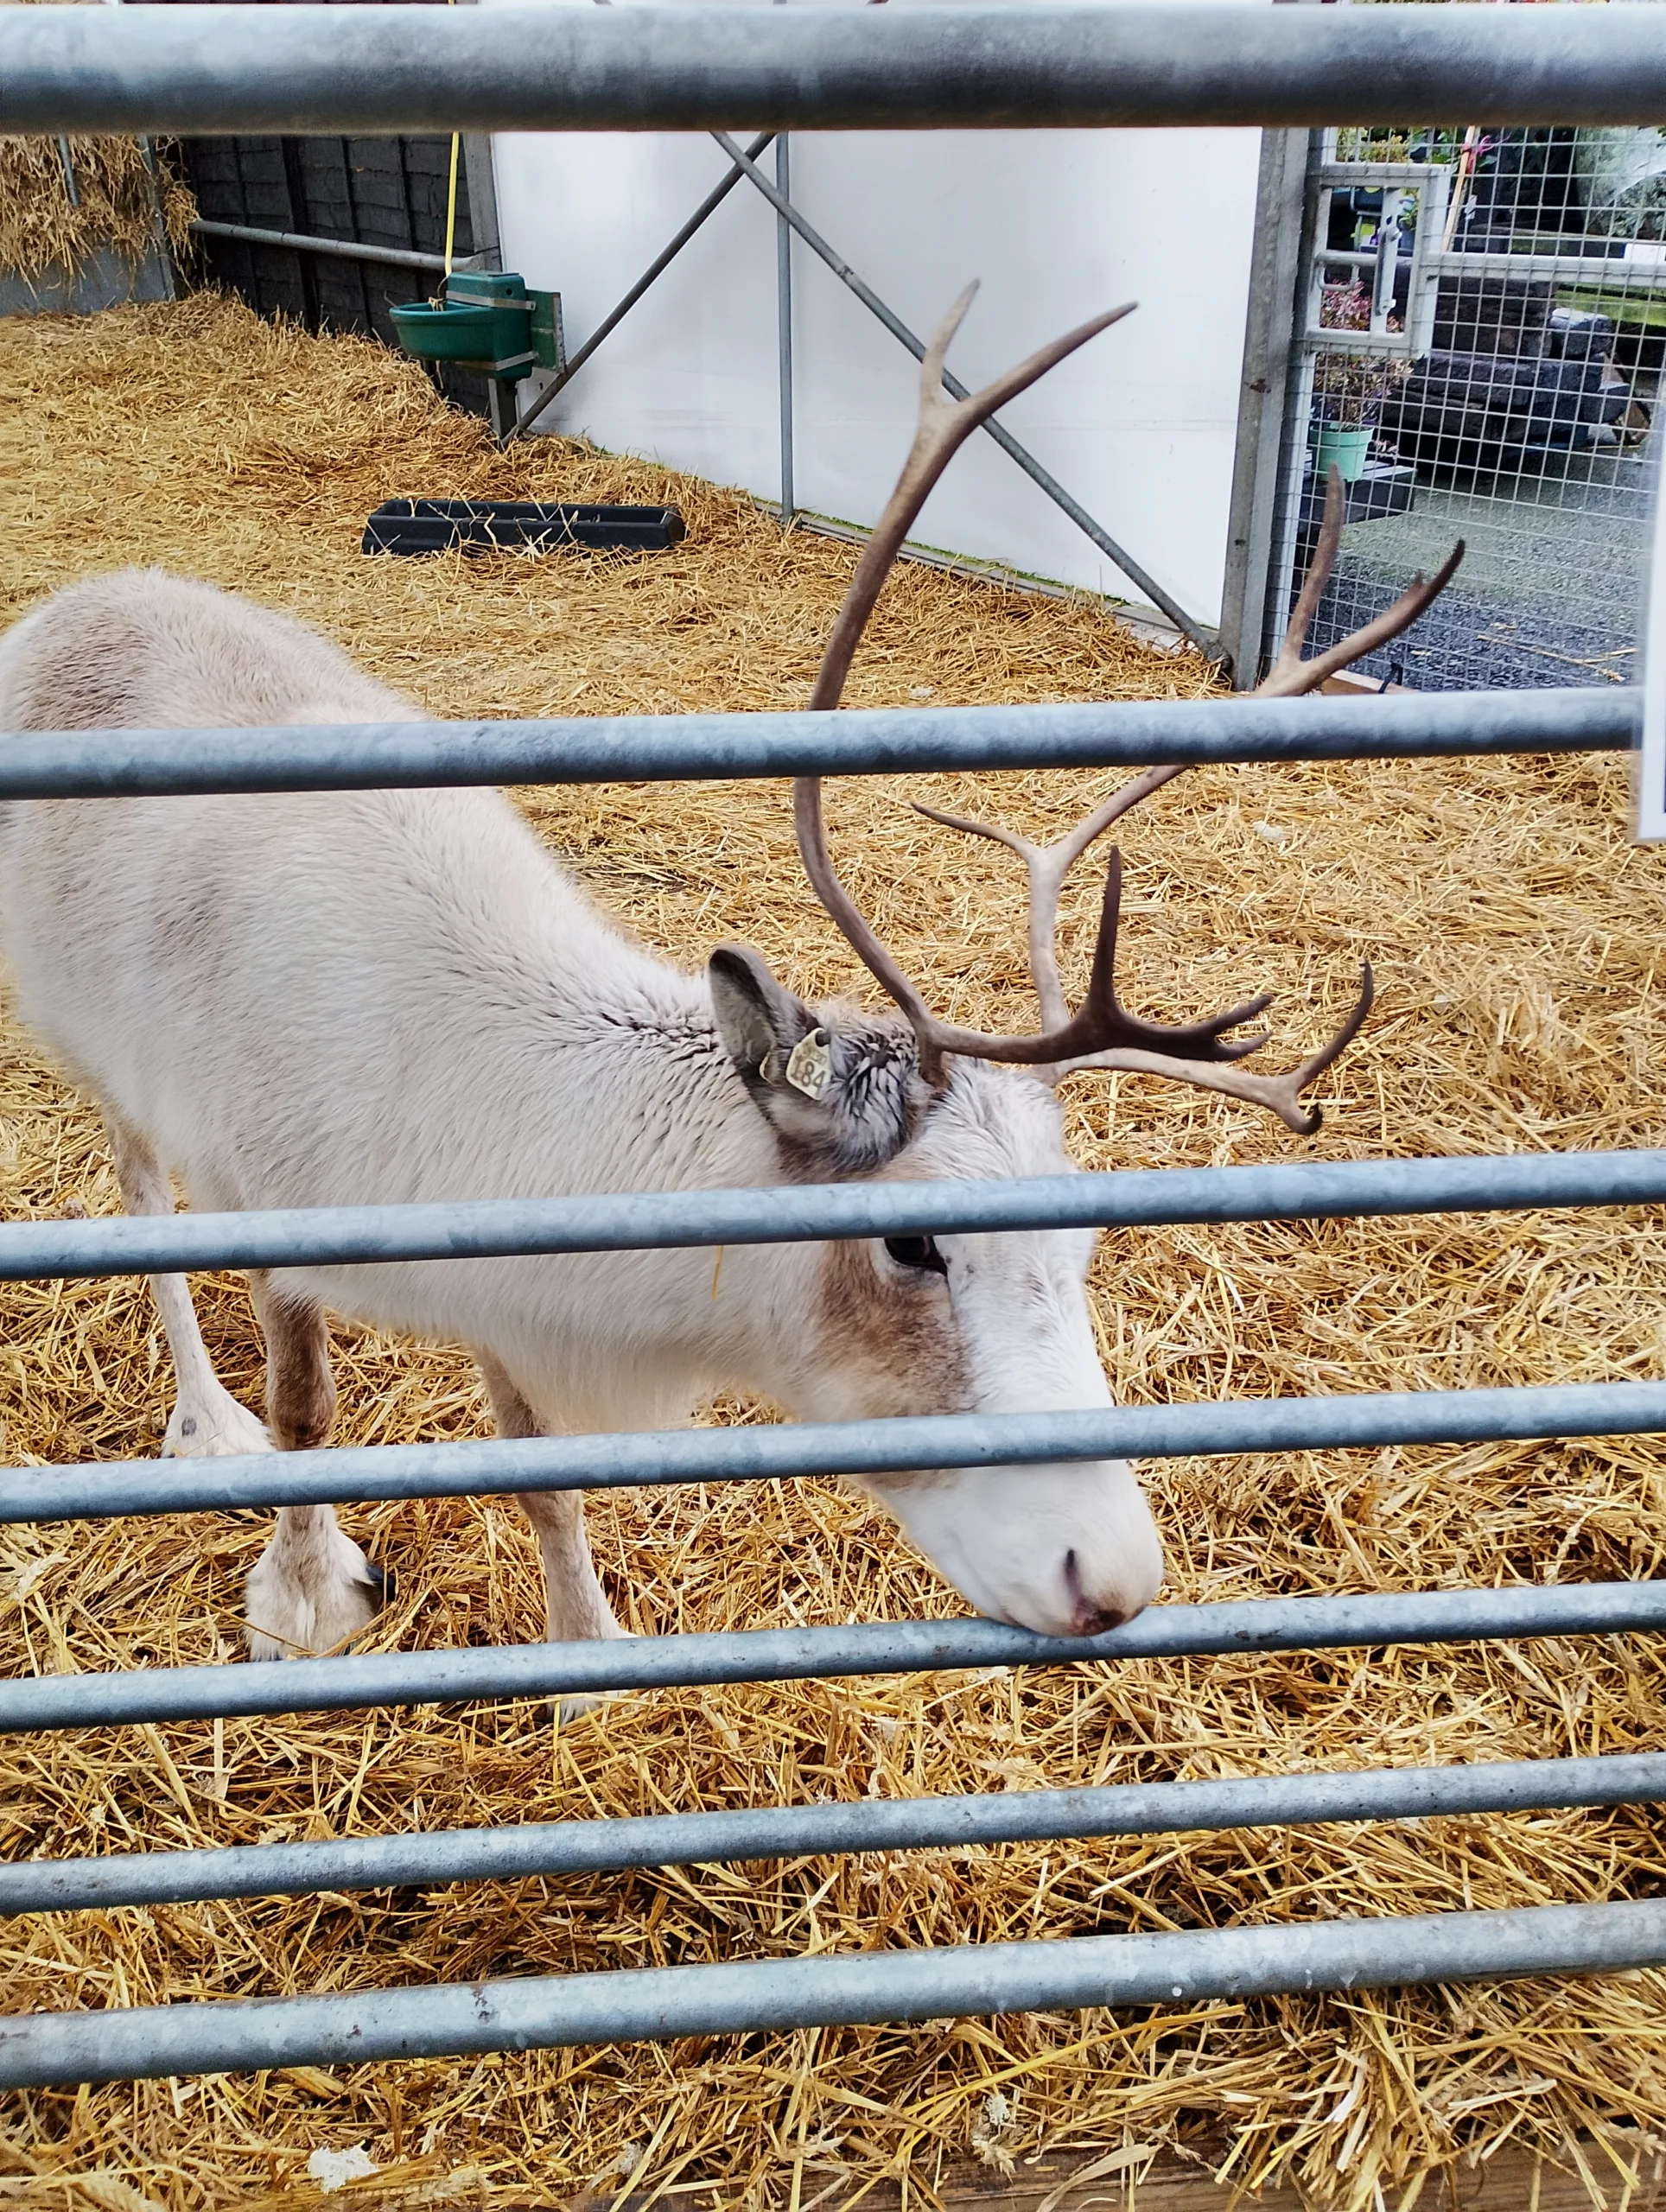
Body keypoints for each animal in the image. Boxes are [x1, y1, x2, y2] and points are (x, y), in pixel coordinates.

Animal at [0, 286, 1460, 1670]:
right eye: (912, 1241)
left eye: (1086, 1242)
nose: (1107, 1577)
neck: (447, 1070)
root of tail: (80, 597)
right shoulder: (263, 1205)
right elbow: (310, 1414)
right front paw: (307, 1595)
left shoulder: (492, 1270)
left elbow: (536, 1464)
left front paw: (585, 1639)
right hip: (93, 1057)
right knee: (138, 1197)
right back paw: (204, 1417)